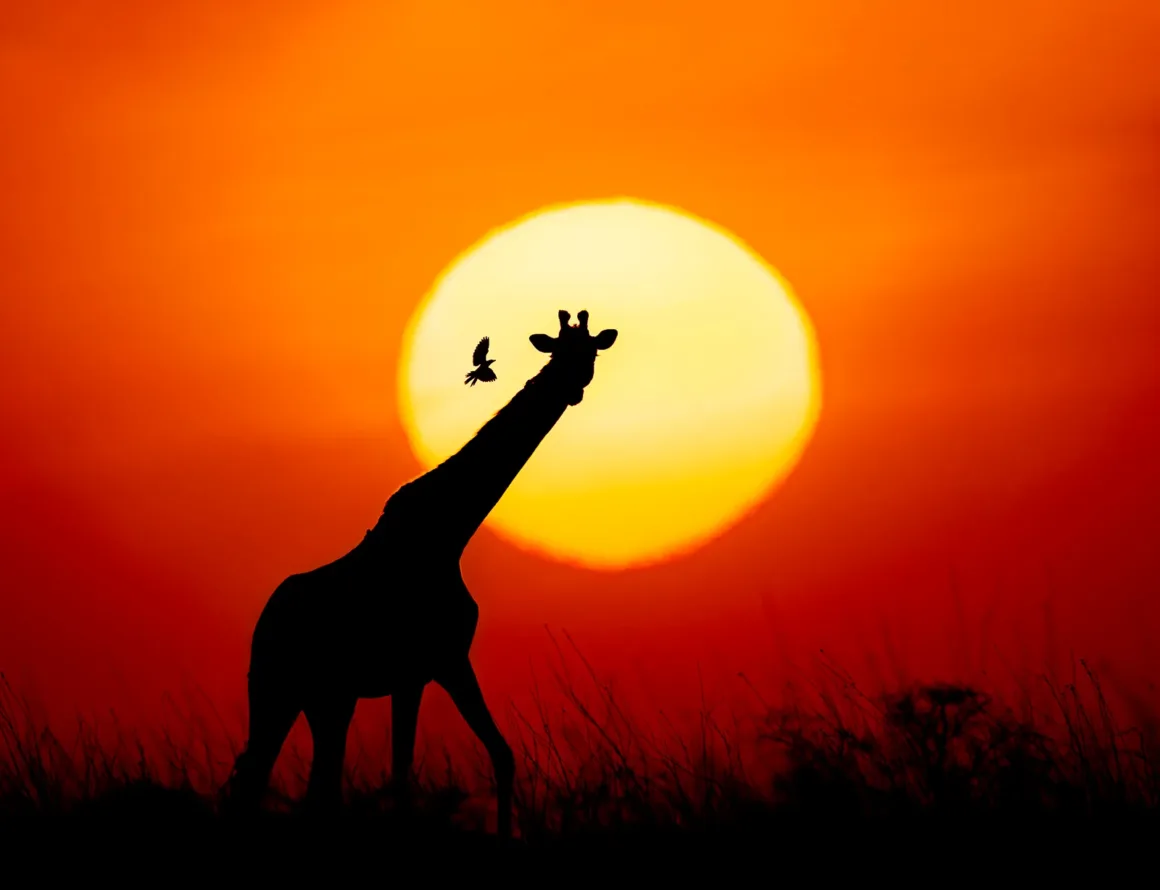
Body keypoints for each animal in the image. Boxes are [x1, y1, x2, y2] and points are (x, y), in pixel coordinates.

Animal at [220, 309, 618, 838]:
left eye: (590, 352)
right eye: (557, 352)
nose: (571, 389)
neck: (447, 534)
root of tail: (264, 621)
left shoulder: (430, 668)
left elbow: (497, 756)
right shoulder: (433, 664)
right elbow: (404, 777)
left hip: (325, 698)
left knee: (306, 786)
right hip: (274, 688)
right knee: (259, 782)